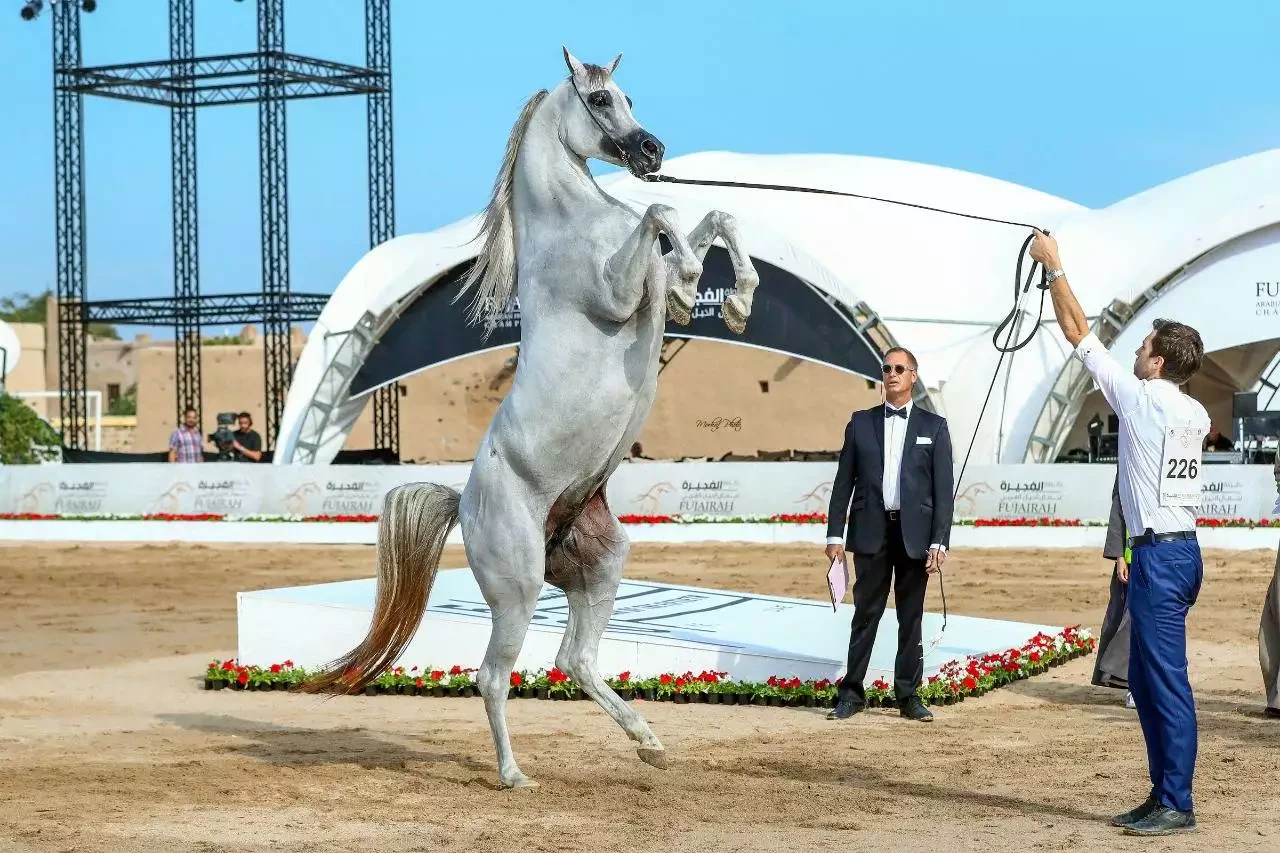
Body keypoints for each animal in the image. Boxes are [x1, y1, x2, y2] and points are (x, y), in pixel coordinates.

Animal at [301, 47, 761, 789]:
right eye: (599, 99)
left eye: (627, 95)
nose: (653, 150)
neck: (577, 225)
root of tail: (462, 502)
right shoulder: (619, 291)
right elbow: (662, 213)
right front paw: (697, 282)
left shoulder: (648, 273)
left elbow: (713, 215)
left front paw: (735, 298)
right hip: (516, 591)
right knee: (493, 676)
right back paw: (515, 774)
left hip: (599, 564)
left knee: (573, 659)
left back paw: (647, 739)